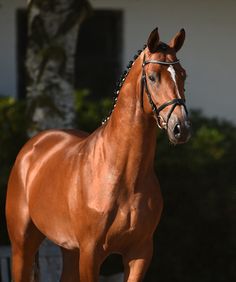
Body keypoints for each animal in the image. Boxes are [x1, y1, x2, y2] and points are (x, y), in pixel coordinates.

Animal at [6, 27, 192, 282]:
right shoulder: (91, 253)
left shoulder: (140, 252)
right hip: (22, 246)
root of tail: (31, 148)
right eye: (153, 77)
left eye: (183, 75)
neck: (123, 176)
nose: (180, 128)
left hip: (70, 250)